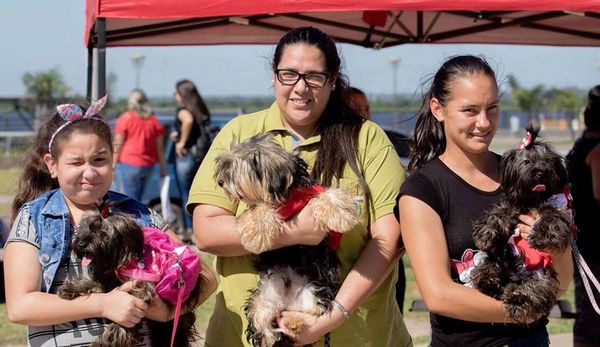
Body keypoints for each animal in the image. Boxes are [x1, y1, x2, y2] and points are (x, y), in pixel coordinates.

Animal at [59, 209, 203, 347]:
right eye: (86, 228)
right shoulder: (109, 280)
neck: (119, 259)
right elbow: (92, 282)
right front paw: (71, 288)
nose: (80, 243)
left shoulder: (141, 290)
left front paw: (108, 339)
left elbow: (124, 317)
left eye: (102, 233)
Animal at [213, 134, 358, 347]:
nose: (221, 182)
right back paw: (276, 334)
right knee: (265, 325)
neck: (287, 195)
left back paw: (293, 324)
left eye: (235, 169)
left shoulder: (311, 193)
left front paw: (341, 215)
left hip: (314, 290)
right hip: (261, 299)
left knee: (310, 313)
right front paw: (256, 234)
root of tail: (287, 300)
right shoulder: (265, 204)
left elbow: (326, 194)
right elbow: (260, 208)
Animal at [472, 126, 576, 324]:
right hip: (502, 254)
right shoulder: (515, 206)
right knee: (491, 263)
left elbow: (552, 218)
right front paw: (486, 233)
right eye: (527, 162)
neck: (533, 201)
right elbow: (499, 213)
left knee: (536, 289)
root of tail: (514, 278)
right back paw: (487, 280)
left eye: (547, 162)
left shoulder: (560, 210)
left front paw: (540, 235)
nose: (541, 171)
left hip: (541, 274)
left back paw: (518, 299)